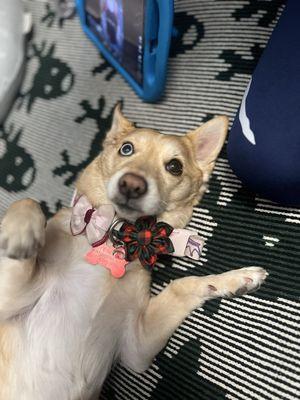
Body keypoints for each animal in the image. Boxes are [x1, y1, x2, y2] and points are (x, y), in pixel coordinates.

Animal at [0, 107, 268, 400]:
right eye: (126, 149)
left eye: (175, 166)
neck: (112, 233)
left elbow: (181, 285)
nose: (132, 184)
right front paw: (20, 231)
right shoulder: (10, 296)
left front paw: (235, 279)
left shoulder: (137, 347)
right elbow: (27, 201)